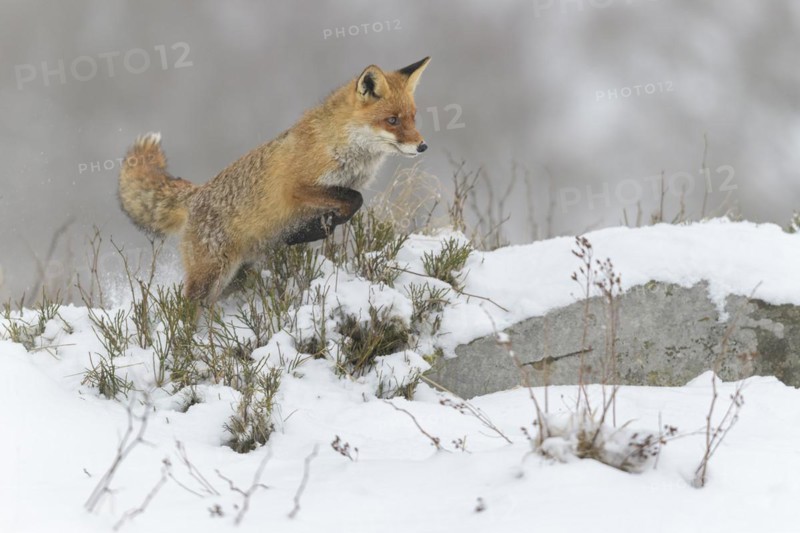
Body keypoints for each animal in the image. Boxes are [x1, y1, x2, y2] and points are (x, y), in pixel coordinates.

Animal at [118, 57, 431, 303]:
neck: (339, 144)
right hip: (211, 276)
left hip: (235, 276)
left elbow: (346, 209)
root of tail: (197, 193)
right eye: (392, 120)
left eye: (413, 118)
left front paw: (309, 231)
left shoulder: (337, 189)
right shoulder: (298, 188)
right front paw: (308, 232)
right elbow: (355, 201)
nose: (422, 146)